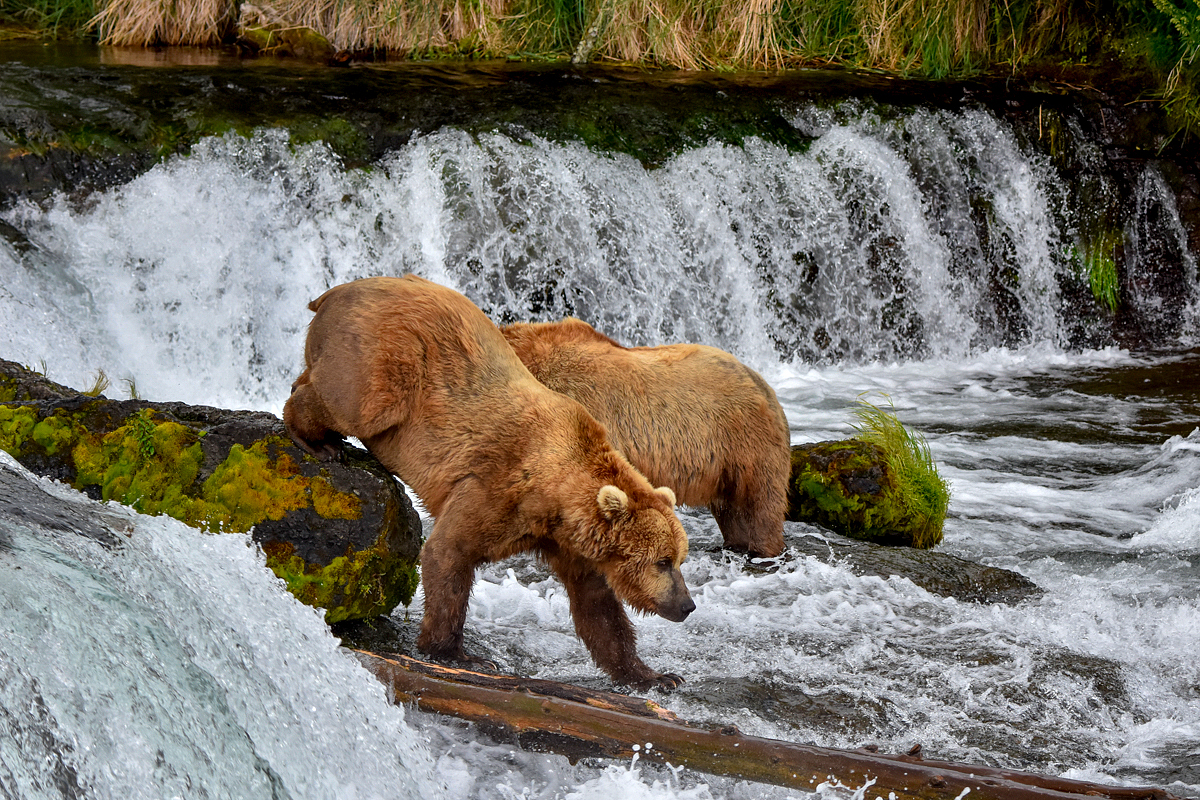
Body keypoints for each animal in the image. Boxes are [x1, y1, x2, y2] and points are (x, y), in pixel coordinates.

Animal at [282, 275, 696, 690]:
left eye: (680, 559)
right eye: (662, 562)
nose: (687, 605)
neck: (555, 494)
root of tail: (340, 290)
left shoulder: (568, 541)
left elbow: (598, 606)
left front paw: (656, 675)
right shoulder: (498, 485)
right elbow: (448, 552)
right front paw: (457, 652)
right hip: (383, 356)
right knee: (354, 402)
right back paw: (318, 440)